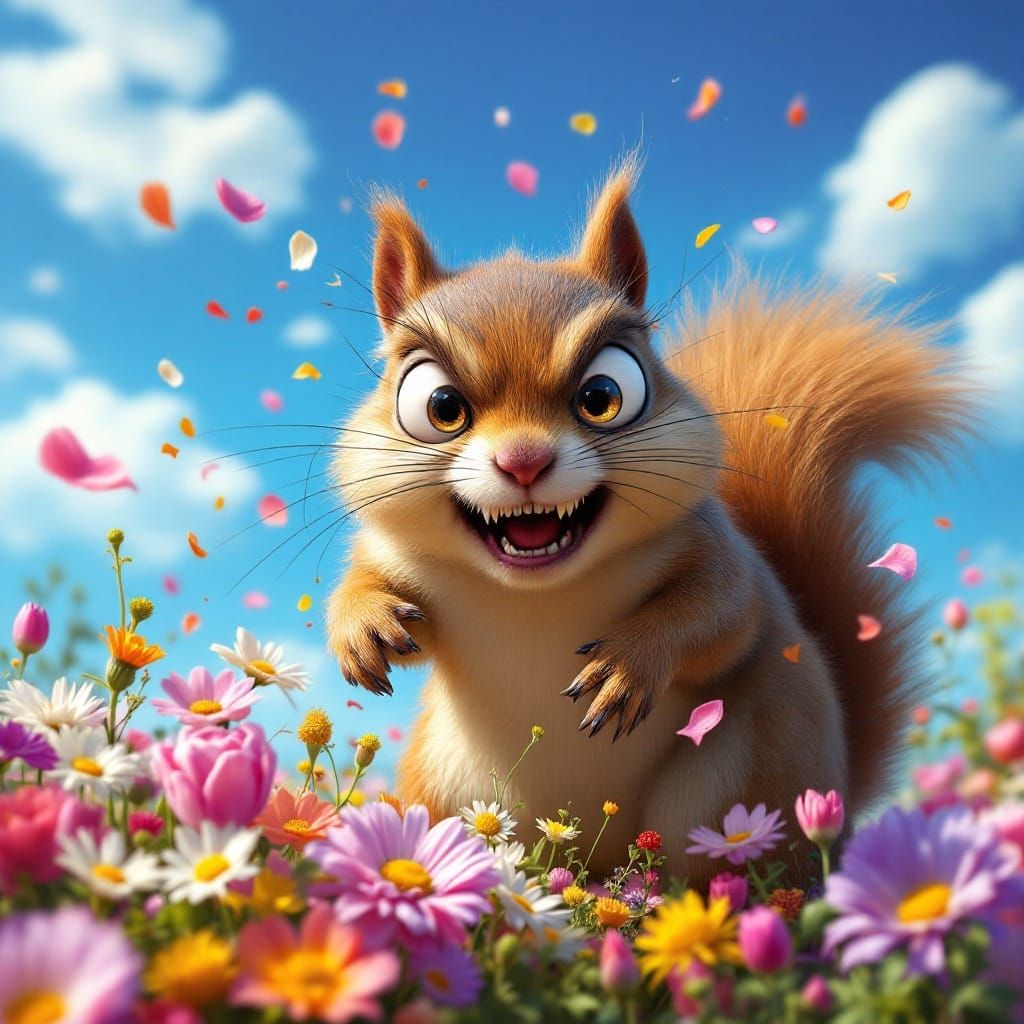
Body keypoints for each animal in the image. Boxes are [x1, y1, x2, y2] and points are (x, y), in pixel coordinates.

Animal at [326, 158, 967, 879]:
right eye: (439, 406)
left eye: (605, 395)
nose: (523, 461)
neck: (537, 593)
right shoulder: (394, 555)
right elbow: (359, 584)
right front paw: (363, 628)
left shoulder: (718, 552)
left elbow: (721, 615)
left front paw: (627, 666)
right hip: (444, 781)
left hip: (737, 783)